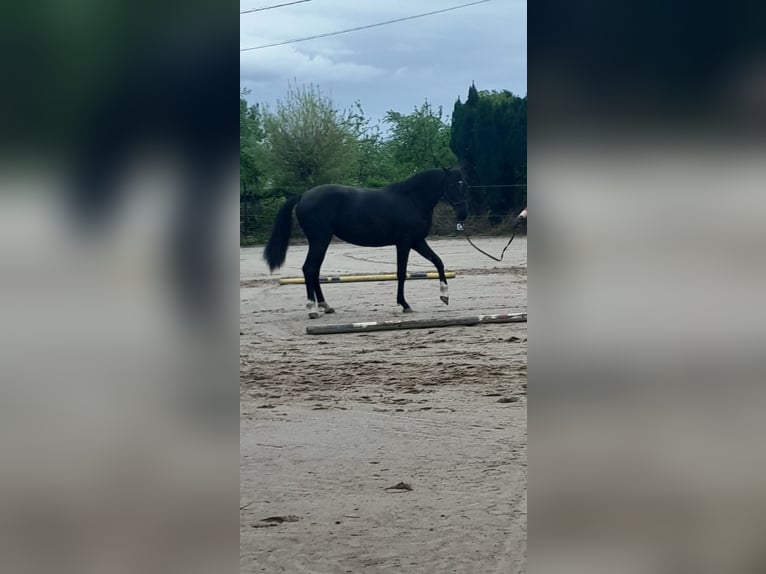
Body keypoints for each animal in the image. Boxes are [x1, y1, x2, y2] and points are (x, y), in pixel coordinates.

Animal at [264, 166, 468, 320]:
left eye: (464, 184)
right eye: (453, 184)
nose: (463, 214)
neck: (411, 200)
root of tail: (303, 195)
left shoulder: (417, 241)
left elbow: (438, 262)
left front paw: (444, 295)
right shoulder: (404, 243)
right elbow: (401, 273)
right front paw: (404, 304)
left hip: (321, 241)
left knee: (314, 270)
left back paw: (325, 305)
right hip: (319, 240)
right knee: (309, 269)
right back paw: (312, 309)